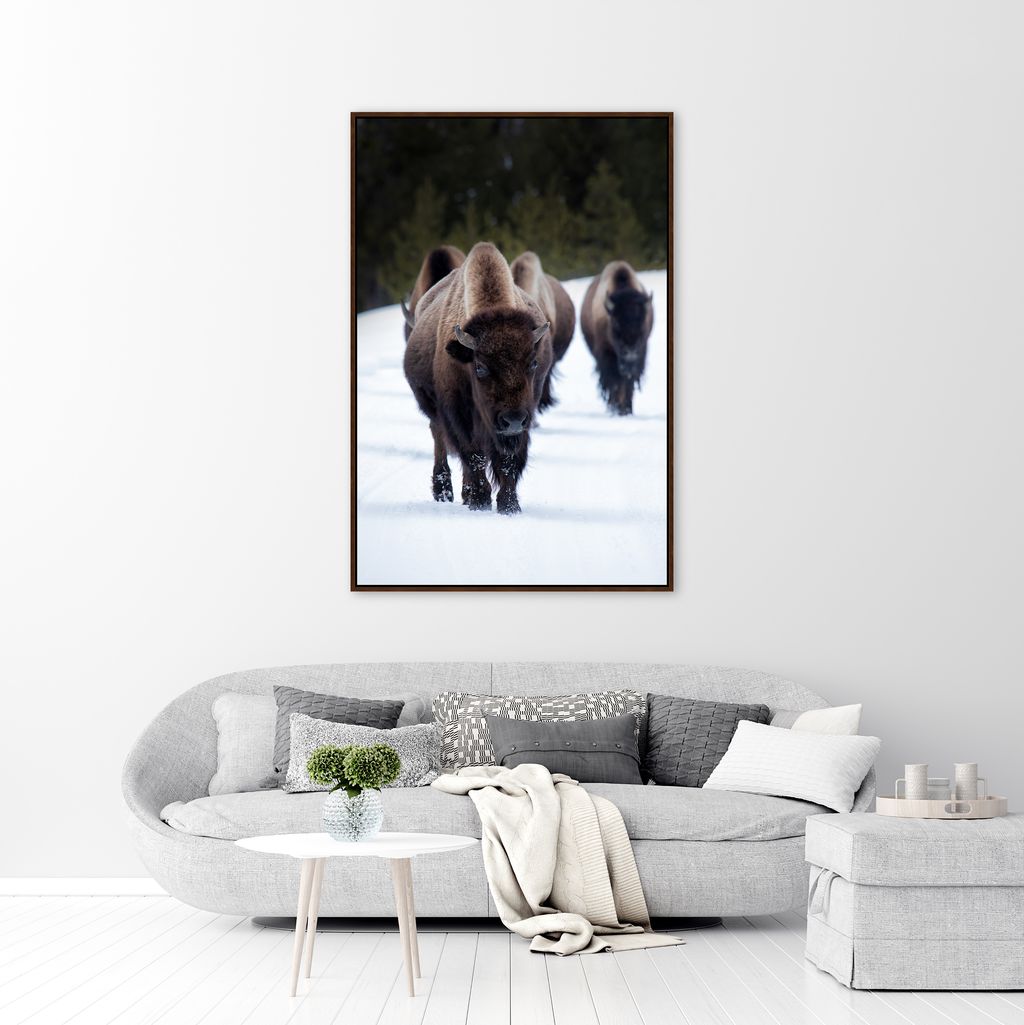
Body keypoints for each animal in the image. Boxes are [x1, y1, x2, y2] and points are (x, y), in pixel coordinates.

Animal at [403, 242, 552, 515]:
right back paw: (446, 492)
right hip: (435, 413)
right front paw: (480, 501)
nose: (513, 420)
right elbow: (474, 456)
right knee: (440, 440)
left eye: (533, 363)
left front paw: (509, 506)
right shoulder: (458, 414)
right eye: (480, 367)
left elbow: (507, 460)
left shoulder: (525, 415)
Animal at [580, 261, 654, 415]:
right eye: (616, 324)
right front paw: (616, 409)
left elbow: (628, 383)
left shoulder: (640, 354)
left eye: (642, 324)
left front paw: (626, 409)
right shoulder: (606, 353)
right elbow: (614, 382)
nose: (630, 355)